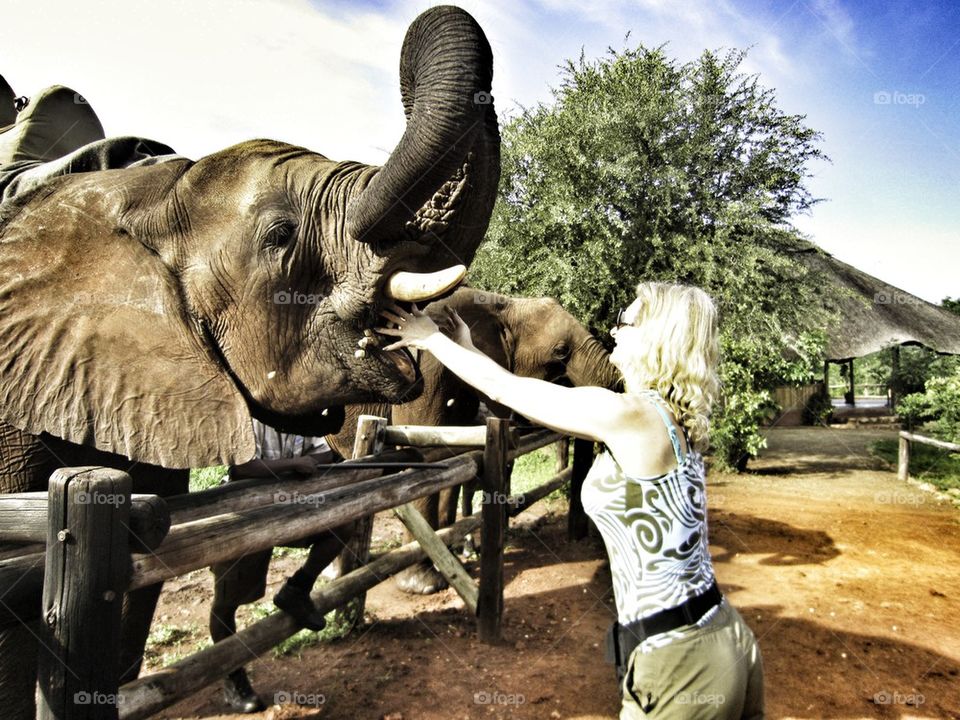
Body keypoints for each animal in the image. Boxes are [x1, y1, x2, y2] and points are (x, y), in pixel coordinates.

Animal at [326, 286, 624, 596]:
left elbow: (451, 457)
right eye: (561, 351)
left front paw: (453, 559)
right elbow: (423, 451)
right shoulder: (425, 368)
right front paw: (425, 585)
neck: (505, 305)